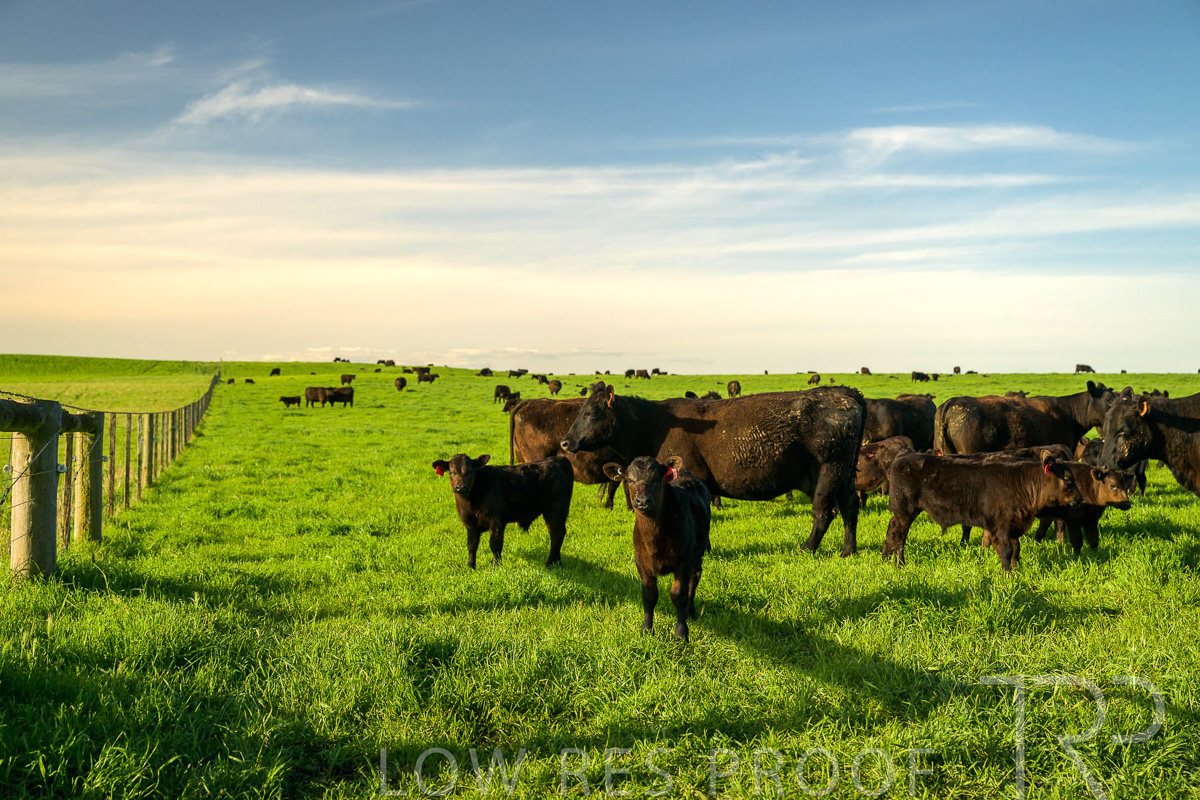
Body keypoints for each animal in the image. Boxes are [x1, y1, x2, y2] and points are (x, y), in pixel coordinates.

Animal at [431, 454, 574, 569]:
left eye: (470, 471)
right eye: (452, 472)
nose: (460, 487)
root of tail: (560, 458)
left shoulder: (496, 521)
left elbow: (495, 545)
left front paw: (497, 568)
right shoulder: (469, 523)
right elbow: (471, 545)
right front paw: (470, 566)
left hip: (556, 510)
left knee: (557, 534)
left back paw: (550, 563)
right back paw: (557, 562)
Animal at [561, 386, 866, 556]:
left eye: (591, 414)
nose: (565, 442)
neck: (656, 425)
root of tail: (843, 393)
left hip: (828, 471)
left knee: (824, 512)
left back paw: (807, 548)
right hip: (842, 475)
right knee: (850, 508)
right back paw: (848, 550)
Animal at [603, 456, 710, 642]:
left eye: (656, 479)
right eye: (630, 480)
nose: (642, 501)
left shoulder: (684, 562)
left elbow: (678, 596)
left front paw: (681, 633)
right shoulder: (641, 563)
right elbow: (649, 596)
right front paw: (647, 629)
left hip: (698, 552)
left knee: (695, 578)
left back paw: (690, 612)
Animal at [883, 450, 1082, 570]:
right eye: (1067, 478)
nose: (1080, 498)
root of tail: (903, 456)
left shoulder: (1013, 525)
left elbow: (1016, 549)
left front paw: (1016, 570)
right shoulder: (1000, 526)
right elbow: (1006, 550)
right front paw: (1007, 574)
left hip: (902, 512)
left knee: (891, 531)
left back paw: (885, 559)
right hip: (905, 510)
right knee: (898, 535)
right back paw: (900, 564)